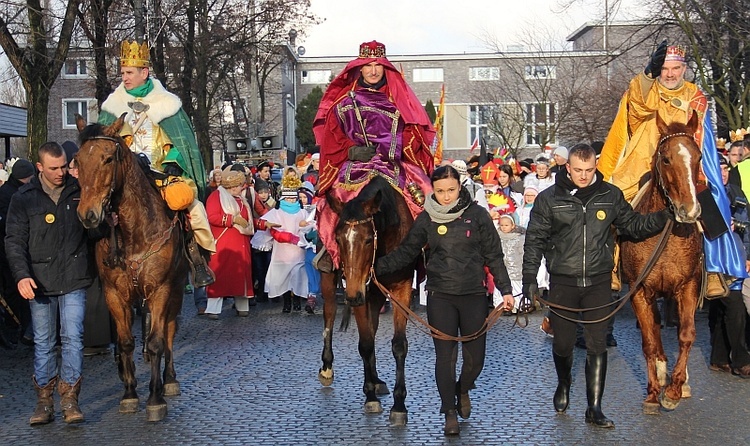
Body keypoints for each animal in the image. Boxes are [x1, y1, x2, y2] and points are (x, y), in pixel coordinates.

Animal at [75, 114, 189, 422]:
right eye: (77, 160)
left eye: (107, 158)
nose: (88, 215)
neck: (134, 232)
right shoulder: (115, 294)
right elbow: (126, 343)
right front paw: (129, 393)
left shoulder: (160, 289)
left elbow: (157, 341)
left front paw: (155, 398)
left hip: (176, 289)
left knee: (169, 330)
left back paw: (169, 380)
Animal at [318, 175, 418, 426]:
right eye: (337, 239)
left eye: (366, 240)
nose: (352, 296)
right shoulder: (359, 289)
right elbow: (365, 343)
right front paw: (370, 396)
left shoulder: (401, 288)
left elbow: (398, 345)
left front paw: (399, 405)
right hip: (331, 280)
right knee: (329, 312)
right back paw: (327, 367)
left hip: (374, 292)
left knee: (372, 327)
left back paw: (377, 379)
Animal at [624, 112, 704, 414]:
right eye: (666, 158)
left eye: (698, 157)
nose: (689, 211)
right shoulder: (639, 291)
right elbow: (648, 341)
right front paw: (652, 393)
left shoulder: (689, 286)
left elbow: (686, 334)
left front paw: (674, 390)